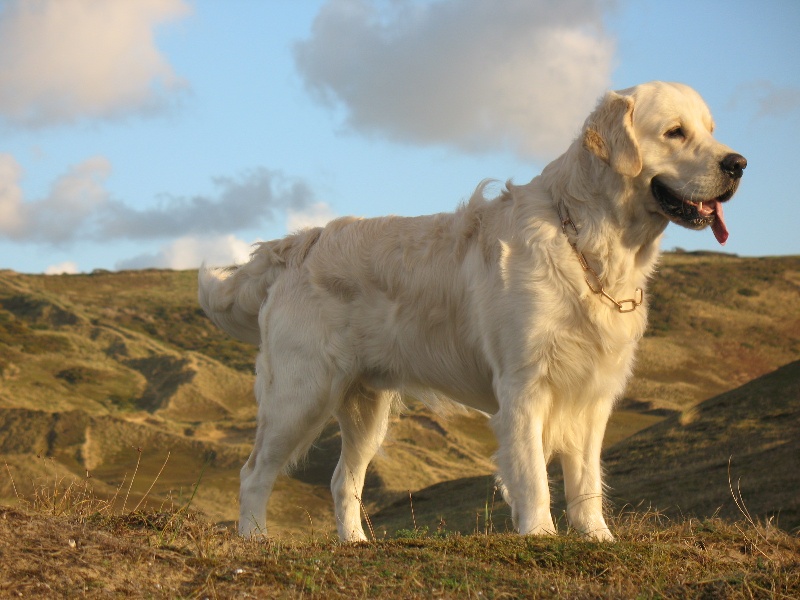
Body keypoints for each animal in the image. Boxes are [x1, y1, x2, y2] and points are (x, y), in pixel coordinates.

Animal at [198, 79, 744, 540]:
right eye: (675, 132)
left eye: (711, 130)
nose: (738, 164)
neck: (589, 247)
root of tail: (298, 244)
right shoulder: (524, 385)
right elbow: (532, 475)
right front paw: (540, 536)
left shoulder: (592, 393)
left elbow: (587, 480)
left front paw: (597, 538)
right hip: (300, 392)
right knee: (254, 473)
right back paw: (255, 540)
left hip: (366, 407)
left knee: (341, 481)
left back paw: (354, 543)